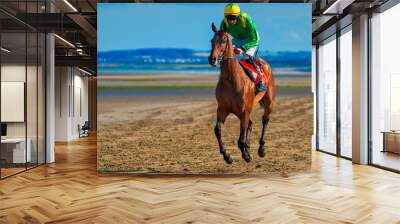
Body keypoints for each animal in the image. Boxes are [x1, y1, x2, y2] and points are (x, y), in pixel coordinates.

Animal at [208, 22, 276, 164]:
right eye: (212, 40)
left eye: (223, 41)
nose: (212, 59)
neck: (231, 79)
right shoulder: (223, 109)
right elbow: (217, 130)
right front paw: (227, 156)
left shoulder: (244, 110)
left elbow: (241, 137)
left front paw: (245, 154)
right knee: (250, 124)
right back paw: (248, 147)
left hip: (267, 103)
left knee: (265, 120)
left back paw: (261, 149)